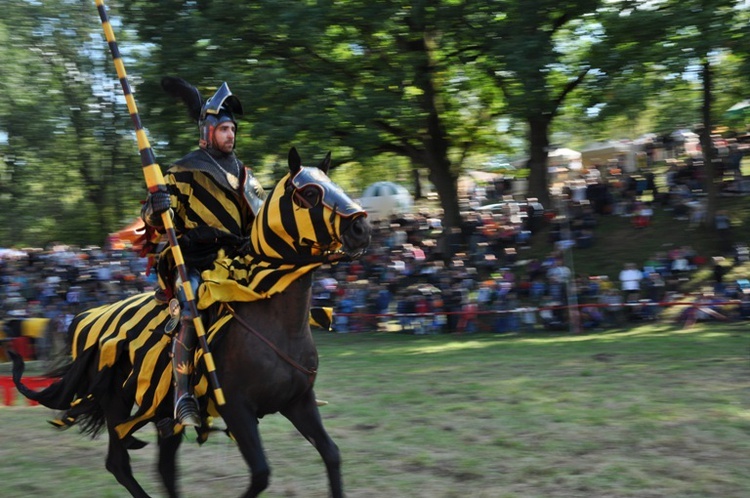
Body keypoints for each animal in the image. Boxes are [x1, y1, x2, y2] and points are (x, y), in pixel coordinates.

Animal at [5, 148, 370, 498]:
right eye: (309, 192)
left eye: (333, 184)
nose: (362, 229)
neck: (276, 320)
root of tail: (84, 317)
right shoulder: (237, 410)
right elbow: (261, 475)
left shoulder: (298, 403)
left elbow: (332, 455)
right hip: (117, 402)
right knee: (119, 464)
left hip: (160, 411)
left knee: (163, 469)